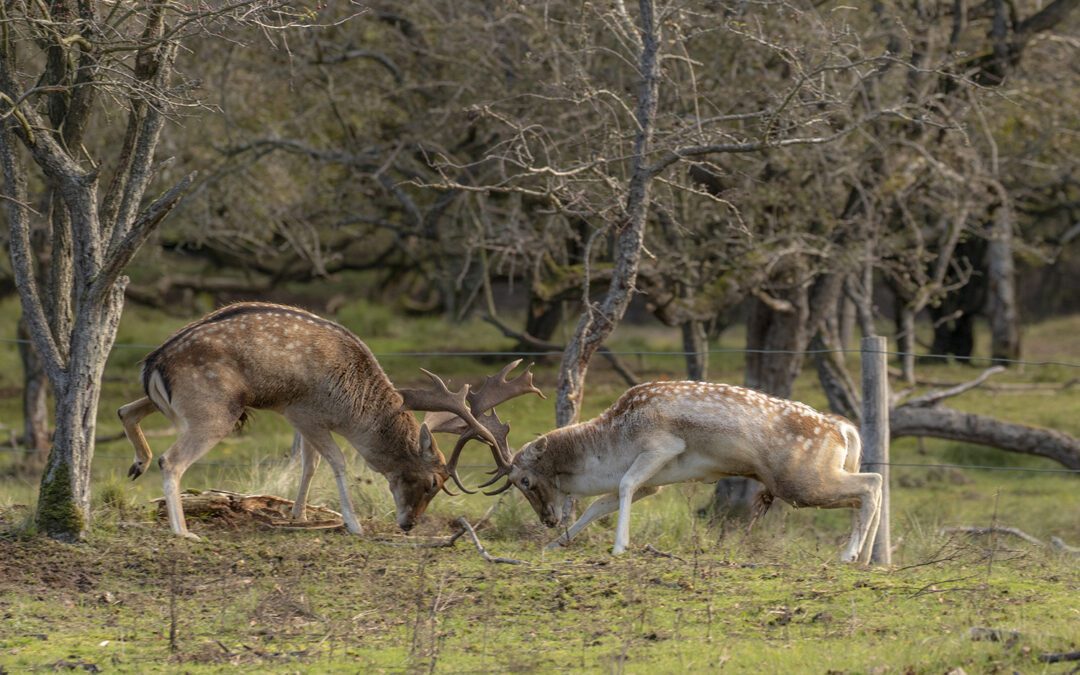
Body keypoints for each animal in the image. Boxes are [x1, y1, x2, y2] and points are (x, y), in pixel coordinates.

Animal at [118, 302, 544, 540]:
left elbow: (309, 464)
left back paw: (137, 463)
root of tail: (152, 363)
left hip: (184, 405)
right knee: (171, 460)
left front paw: (299, 514)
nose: (408, 524)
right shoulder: (303, 411)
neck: (349, 407)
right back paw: (183, 531)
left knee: (126, 409)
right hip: (215, 411)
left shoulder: (303, 417)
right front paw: (352, 524)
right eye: (431, 482)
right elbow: (336, 462)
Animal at [477, 382, 881, 561]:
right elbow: (600, 503)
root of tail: (842, 429)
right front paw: (556, 543)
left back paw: (851, 556)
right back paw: (864, 558)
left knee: (870, 484)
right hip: (810, 479)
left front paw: (620, 546)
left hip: (800, 480)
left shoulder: (661, 446)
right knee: (868, 489)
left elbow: (623, 486)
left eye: (525, 480)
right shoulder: (656, 481)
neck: (614, 443)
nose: (547, 520)